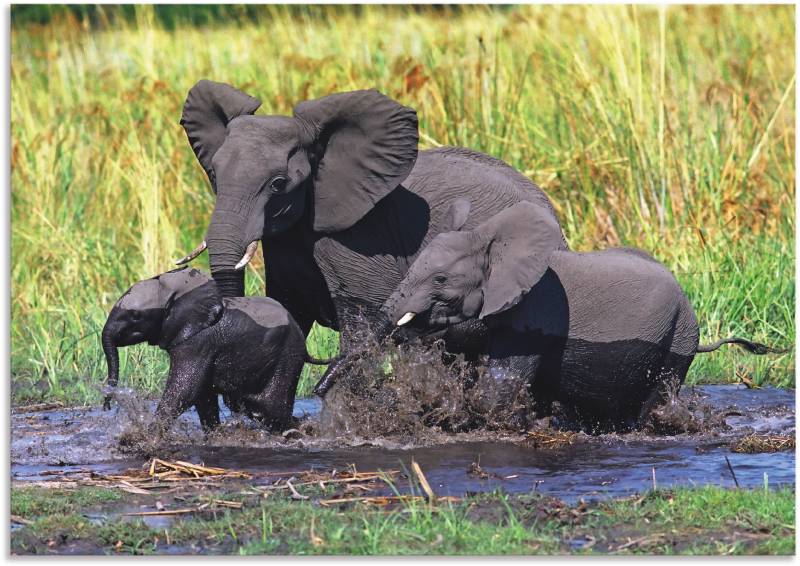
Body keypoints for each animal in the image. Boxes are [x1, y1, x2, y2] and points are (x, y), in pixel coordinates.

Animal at [101, 268, 330, 438]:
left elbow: (185, 389)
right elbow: (203, 395)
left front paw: (141, 439)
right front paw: (215, 437)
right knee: (256, 407)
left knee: (270, 408)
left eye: (135, 316)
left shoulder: (199, 341)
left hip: (287, 356)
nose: (106, 405)